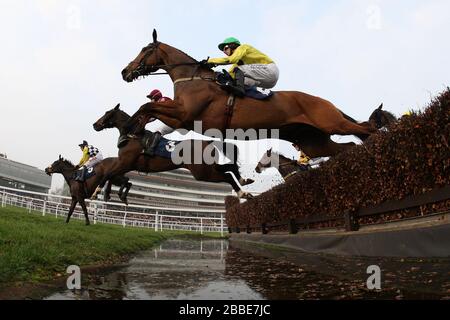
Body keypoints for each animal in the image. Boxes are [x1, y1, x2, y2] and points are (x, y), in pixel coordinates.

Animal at [93, 104, 255, 198]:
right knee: (229, 168)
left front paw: (97, 192)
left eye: (107, 113)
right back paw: (244, 182)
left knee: (227, 175)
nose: (95, 124)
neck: (132, 135)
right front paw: (110, 193)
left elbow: (108, 174)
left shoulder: (126, 162)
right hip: (206, 168)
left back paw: (242, 192)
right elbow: (111, 175)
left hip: (202, 172)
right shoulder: (126, 164)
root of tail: (208, 142)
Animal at [120, 30, 380, 158]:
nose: (125, 71)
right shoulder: (182, 118)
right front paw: (131, 132)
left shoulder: (185, 115)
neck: (192, 78)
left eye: (144, 49)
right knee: (348, 146)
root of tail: (325, 101)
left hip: (331, 123)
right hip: (313, 141)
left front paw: (129, 129)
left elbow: (147, 107)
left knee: (367, 129)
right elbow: (147, 110)